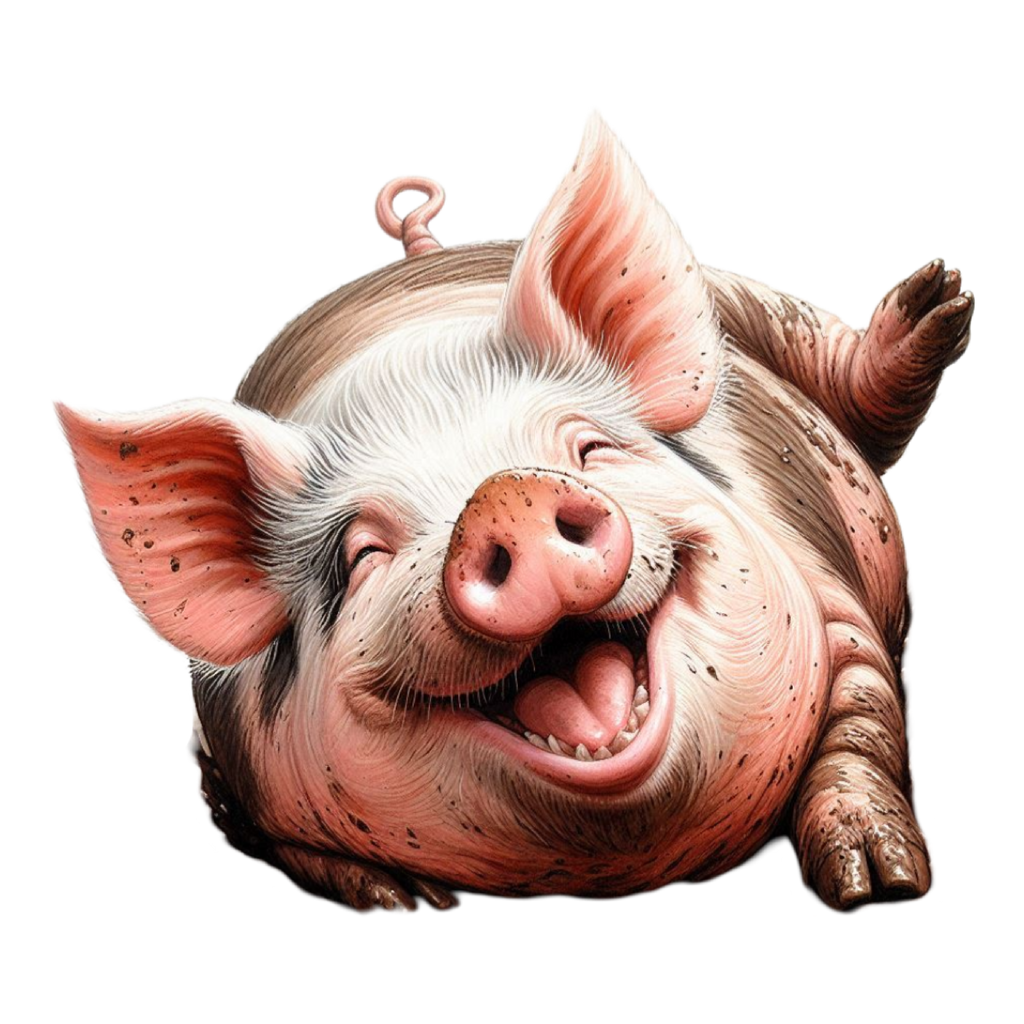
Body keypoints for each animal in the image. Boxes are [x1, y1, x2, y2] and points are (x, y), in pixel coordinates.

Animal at [50, 104, 971, 916]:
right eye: (362, 556)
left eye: (589, 451)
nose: (507, 494)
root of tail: (418, 244)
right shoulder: (223, 767)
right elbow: (282, 847)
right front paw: (402, 902)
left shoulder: (832, 599)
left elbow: (862, 720)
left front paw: (879, 887)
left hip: (748, 302)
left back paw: (938, 298)